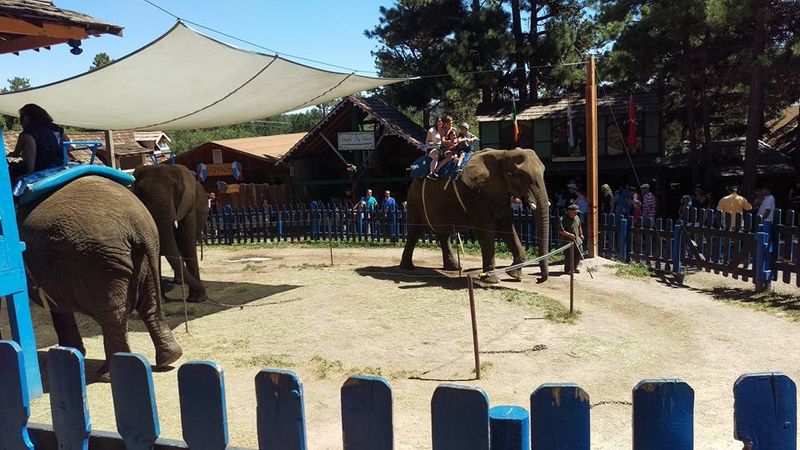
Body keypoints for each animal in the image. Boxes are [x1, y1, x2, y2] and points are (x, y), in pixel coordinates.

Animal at [18, 176, 182, 379]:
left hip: (100, 263)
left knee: (113, 315)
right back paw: (169, 358)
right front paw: (73, 353)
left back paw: (107, 374)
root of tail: (138, 225)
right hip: (136, 258)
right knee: (149, 304)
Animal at [131, 164, 209, 302]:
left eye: (176, 190)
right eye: (140, 191)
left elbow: (186, 240)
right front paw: (161, 301)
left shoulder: (189, 205)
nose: (205, 289)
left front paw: (198, 299)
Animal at [400, 148, 550, 283]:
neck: (503, 153)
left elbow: (507, 228)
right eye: (520, 175)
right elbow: (486, 231)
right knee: (415, 231)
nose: (538, 279)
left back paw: (454, 268)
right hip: (415, 199)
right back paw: (407, 268)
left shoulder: (501, 194)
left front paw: (515, 275)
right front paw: (492, 280)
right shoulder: (475, 193)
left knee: (444, 233)